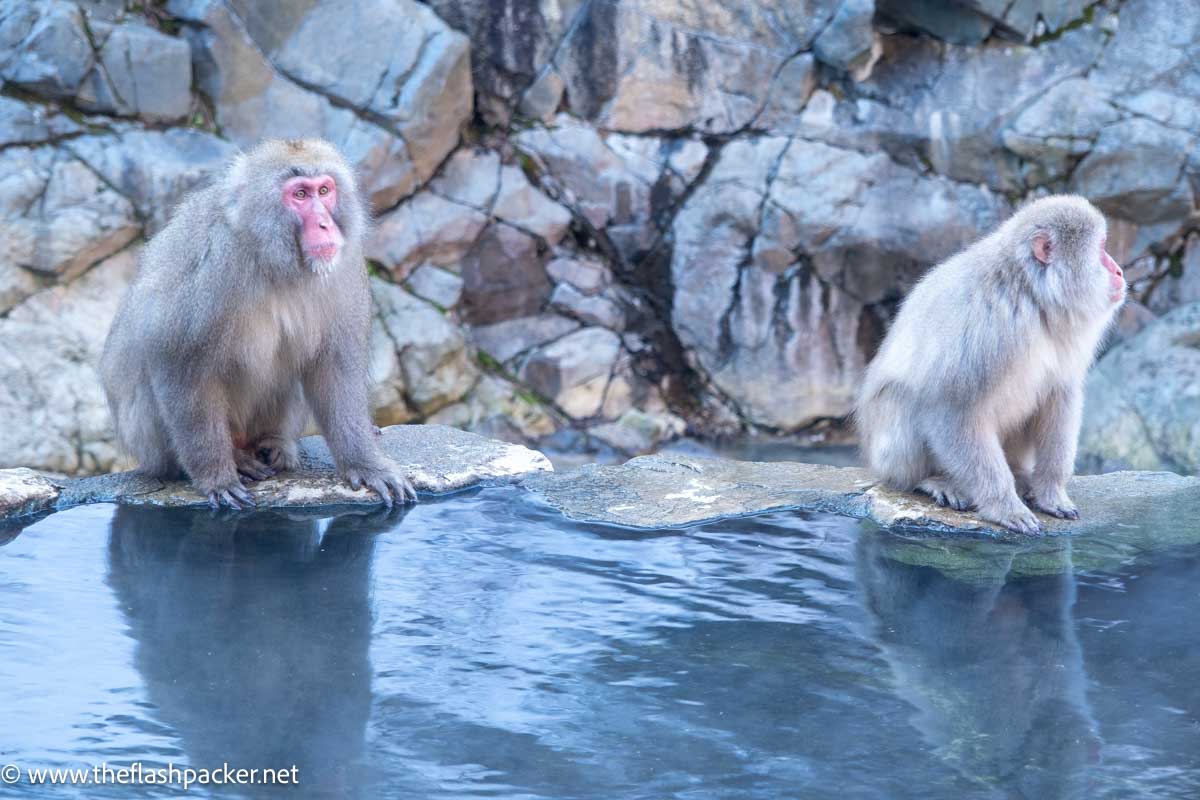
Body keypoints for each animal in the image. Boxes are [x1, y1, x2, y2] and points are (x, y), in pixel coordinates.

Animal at [99, 138, 417, 510]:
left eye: (324, 191)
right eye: (300, 194)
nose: (325, 224)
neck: (274, 260)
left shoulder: (347, 267)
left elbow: (335, 368)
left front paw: (365, 464)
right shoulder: (214, 266)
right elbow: (177, 363)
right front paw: (216, 476)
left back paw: (275, 443)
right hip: (146, 443)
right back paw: (233, 459)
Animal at [854, 193, 1123, 532]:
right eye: (1101, 249)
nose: (1119, 271)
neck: (1031, 296)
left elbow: (1059, 395)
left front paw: (1051, 492)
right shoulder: (985, 324)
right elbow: (950, 408)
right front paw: (1004, 506)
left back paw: (1021, 476)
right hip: (887, 452)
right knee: (905, 398)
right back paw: (931, 479)